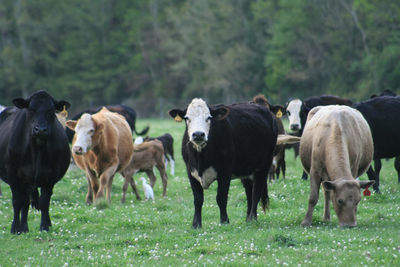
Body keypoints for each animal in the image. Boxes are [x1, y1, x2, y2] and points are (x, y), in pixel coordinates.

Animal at [0, 91, 70, 233]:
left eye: (51, 111)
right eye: (31, 109)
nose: (41, 130)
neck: (37, 150)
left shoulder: (50, 177)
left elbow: (44, 202)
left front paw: (44, 226)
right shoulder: (13, 174)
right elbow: (17, 201)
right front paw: (15, 228)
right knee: (24, 203)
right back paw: (23, 228)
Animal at [167, 98, 276, 228]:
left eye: (209, 117)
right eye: (187, 118)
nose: (198, 134)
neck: (200, 157)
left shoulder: (225, 172)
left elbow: (221, 198)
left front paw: (224, 221)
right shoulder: (191, 172)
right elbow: (198, 199)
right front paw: (196, 224)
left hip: (263, 166)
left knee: (256, 192)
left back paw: (252, 218)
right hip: (246, 170)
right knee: (249, 192)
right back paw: (248, 219)